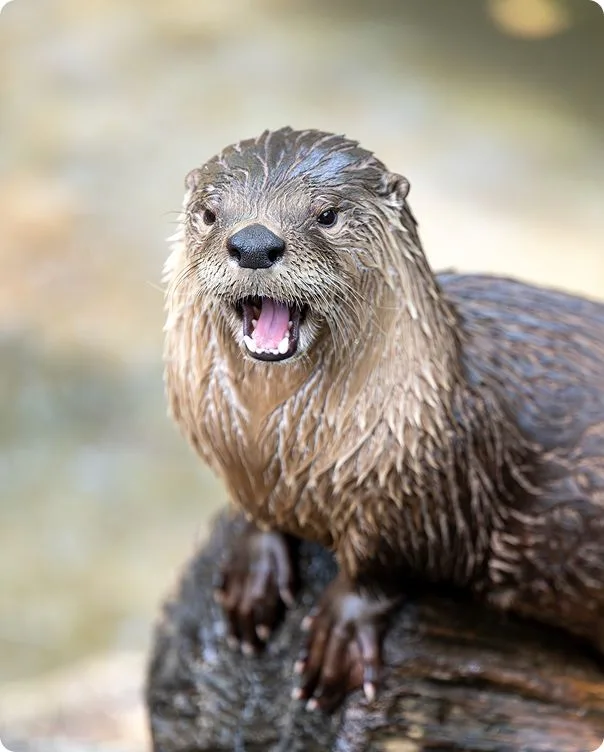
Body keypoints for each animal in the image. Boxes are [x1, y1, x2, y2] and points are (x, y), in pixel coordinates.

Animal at [163, 127, 604, 712]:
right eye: (210, 214)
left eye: (327, 214)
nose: (254, 243)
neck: (278, 444)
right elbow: (258, 512)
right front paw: (252, 573)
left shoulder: (426, 497)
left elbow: (382, 569)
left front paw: (341, 632)